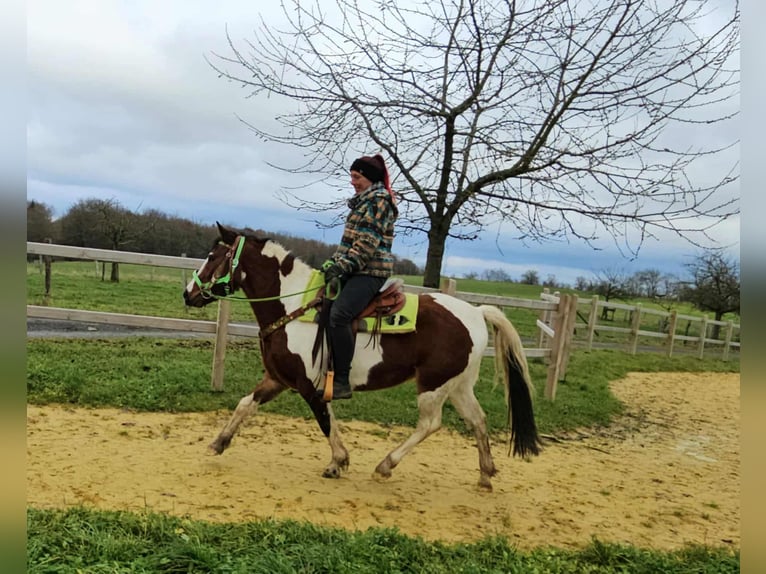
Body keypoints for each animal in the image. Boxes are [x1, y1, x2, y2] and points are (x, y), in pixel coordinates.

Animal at [183, 223, 542, 490]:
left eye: (213, 256)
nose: (188, 293)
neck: (293, 306)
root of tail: (477, 312)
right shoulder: (278, 379)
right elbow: (246, 404)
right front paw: (218, 442)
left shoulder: (309, 385)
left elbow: (325, 421)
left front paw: (337, 462)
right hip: (458, 385)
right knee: (478, 420)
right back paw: (485, 473)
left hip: (433, 385)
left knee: (430, 423)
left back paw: (386, 465)